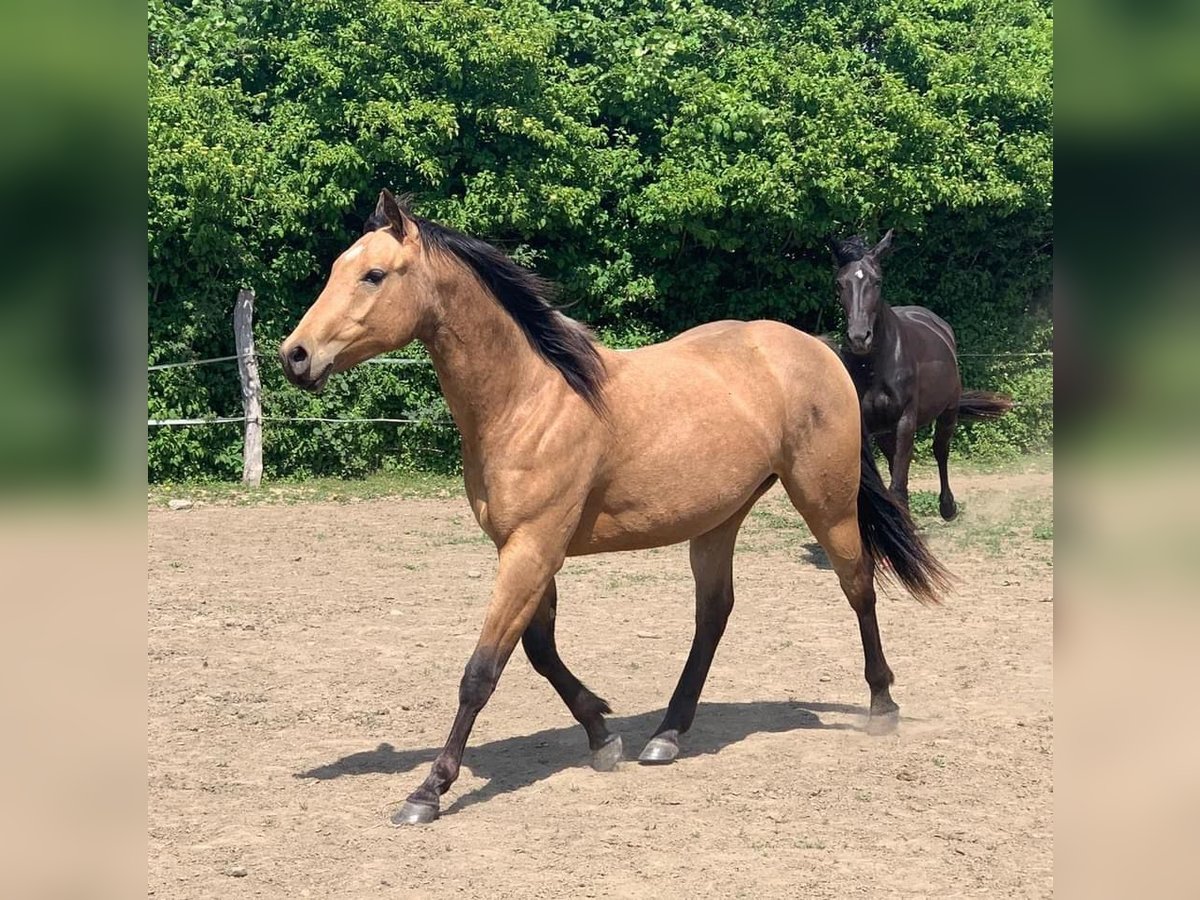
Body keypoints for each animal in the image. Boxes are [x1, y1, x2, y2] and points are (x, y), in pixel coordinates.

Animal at [280, 190, 945, 825]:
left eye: (373, 275)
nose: (296, 355)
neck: (529, 398)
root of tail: (821, 349)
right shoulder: (528, 551)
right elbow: (540, 653)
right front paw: (603, 735)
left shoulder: (532, 549)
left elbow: (481, 672)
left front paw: (429, 791)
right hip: (718, 520)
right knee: (714, 613)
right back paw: (666, 735)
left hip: (825, 502)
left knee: (858, 586)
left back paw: (882, 705)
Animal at [830, 230, 1008, 520]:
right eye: (840, 283)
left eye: (877, 281)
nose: (859, 338)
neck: (875, 365)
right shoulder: (867, 426)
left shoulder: (906, 420)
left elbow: (898, 485)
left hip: (948, 411)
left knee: (940, 451)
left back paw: (948, 507)